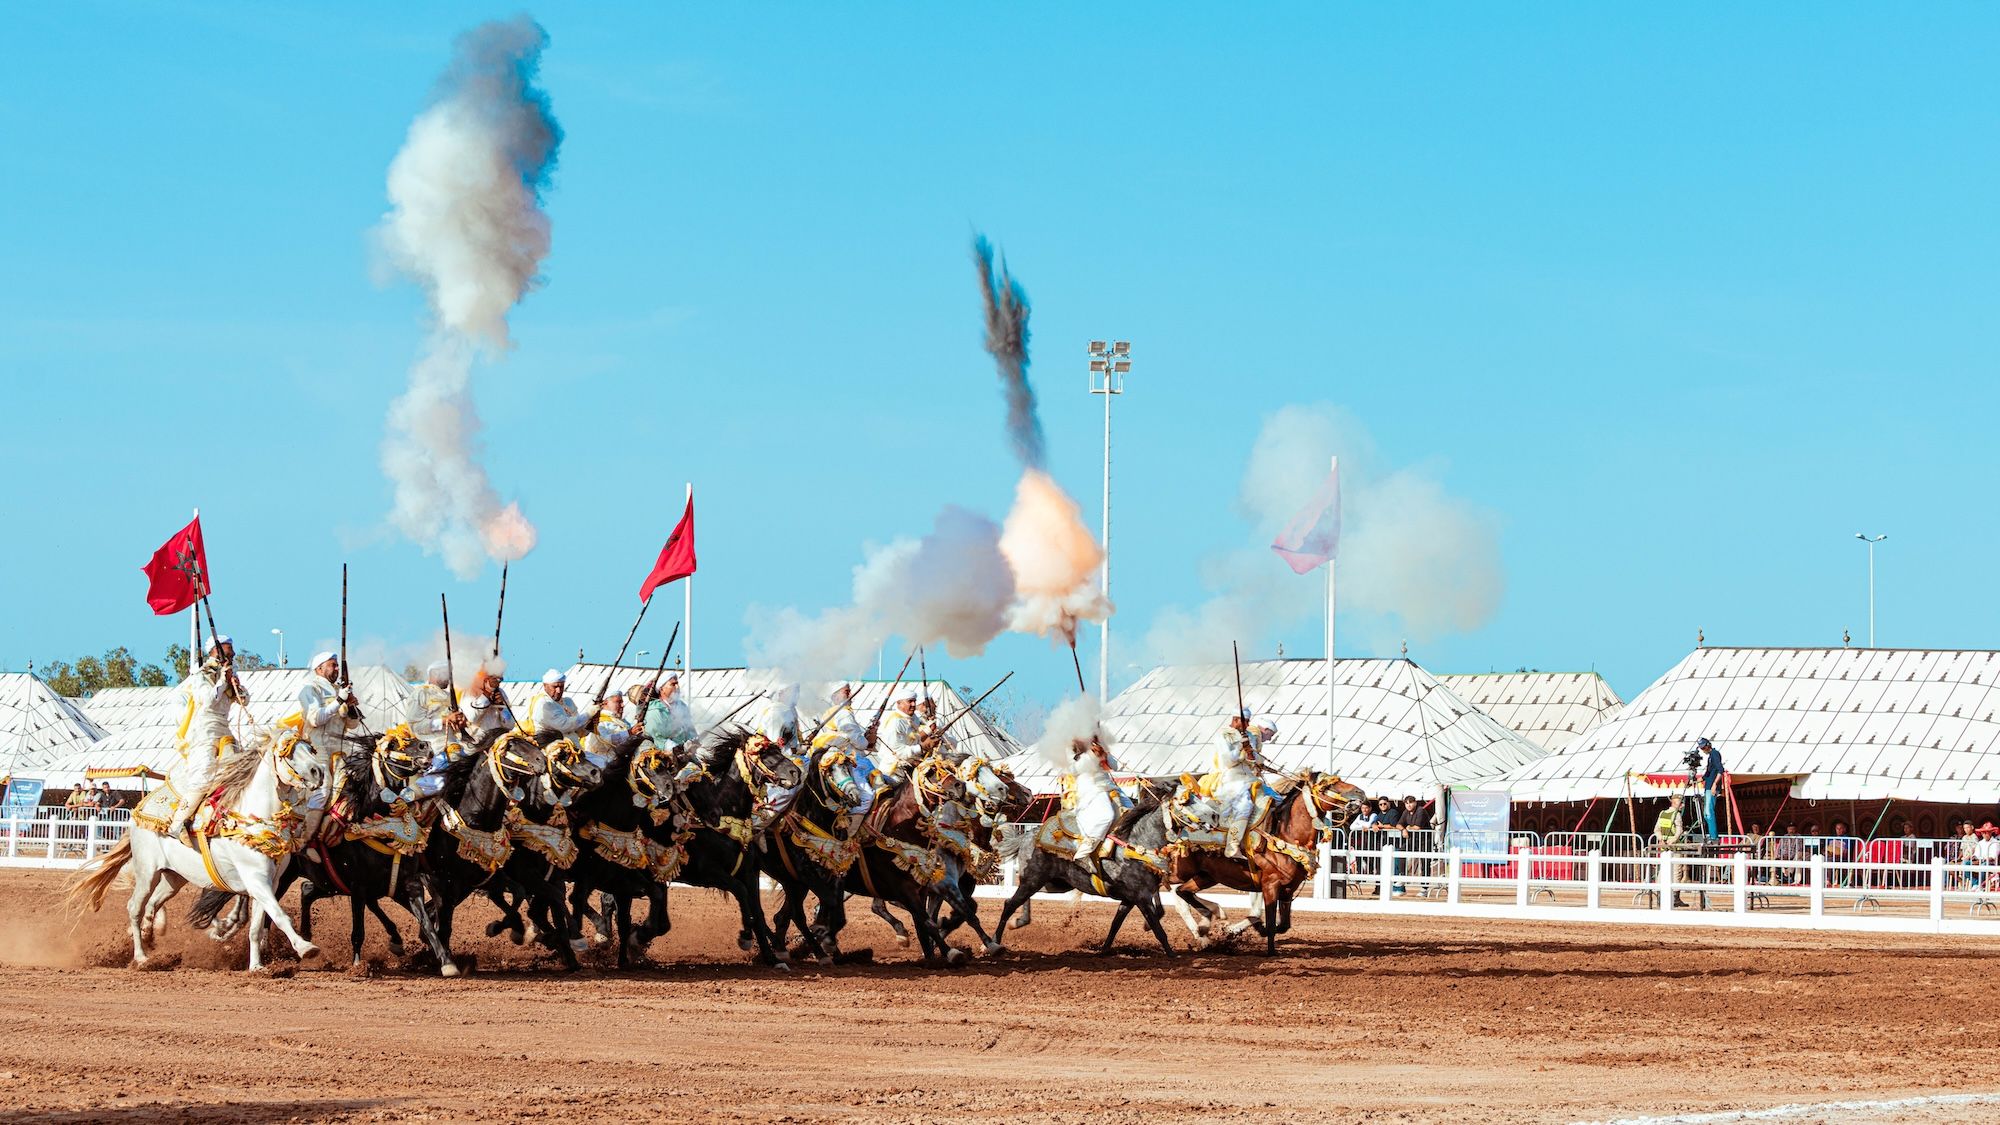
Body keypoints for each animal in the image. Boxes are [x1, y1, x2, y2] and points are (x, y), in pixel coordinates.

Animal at [72, 720, 326, 968]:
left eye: (310, 748)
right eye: (287, 752)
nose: (319, 772)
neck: (252, 821)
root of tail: (137, 812)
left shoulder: (270, 883)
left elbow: (256, 926)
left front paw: (256, 967)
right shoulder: (256, 880)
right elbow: (279, 916)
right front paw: (306, 948)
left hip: (173, 878)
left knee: (153, 904)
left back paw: (150, 934)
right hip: (147, 873)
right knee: (135, 907)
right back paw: (141, 957)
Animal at [1168, 768, 1368, 944]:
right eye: (1326, 786)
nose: (1361, 793)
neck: (1283, 836)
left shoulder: (1287, 888)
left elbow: (1280, 924)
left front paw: (1239, 929)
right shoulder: (1269, 884)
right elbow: (1267, 919)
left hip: (1206, 876)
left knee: (1183, 892)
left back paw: (1212, 919)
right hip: (1179, 873)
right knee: (1177, 898)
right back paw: (1202, 934)